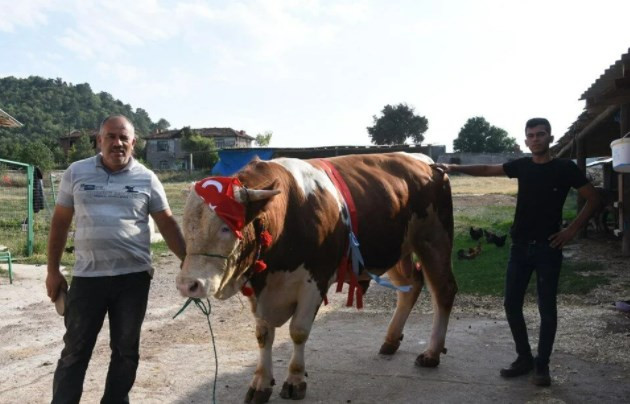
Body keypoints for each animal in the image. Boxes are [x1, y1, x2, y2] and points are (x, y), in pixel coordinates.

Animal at [178, 153, 460, 402]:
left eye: (226, 227)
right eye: (185, 227)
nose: (188, 285)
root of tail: (427, 163)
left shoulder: (315, 280)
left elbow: (298, 331)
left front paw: (295, 380)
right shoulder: (260, 289)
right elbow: (263, 334)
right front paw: (260, 383)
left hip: (434, 240)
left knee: (444, 290)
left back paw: (431, 353)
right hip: (397, 248)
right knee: (410, 286)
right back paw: (391, 340)